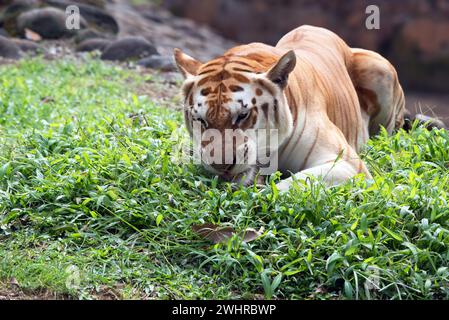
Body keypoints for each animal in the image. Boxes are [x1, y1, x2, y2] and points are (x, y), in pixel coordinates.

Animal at [172, 25, 430, 191]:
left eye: (242, 116)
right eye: (201, 120)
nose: (221, 166)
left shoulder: (346, 165)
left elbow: (287, 186)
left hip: (379, 69)